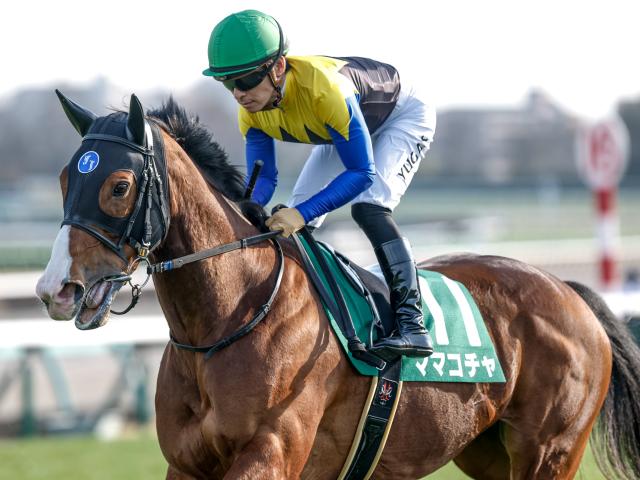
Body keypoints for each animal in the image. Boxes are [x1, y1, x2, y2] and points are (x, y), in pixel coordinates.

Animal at [36, 92, 640, 480]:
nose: (55, 289)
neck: (229, 319)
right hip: (487, 452)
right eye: (65, 178)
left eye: (119, 185)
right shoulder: (186, 464)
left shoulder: (271, 452)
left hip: (549, 452)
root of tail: (568, 290)